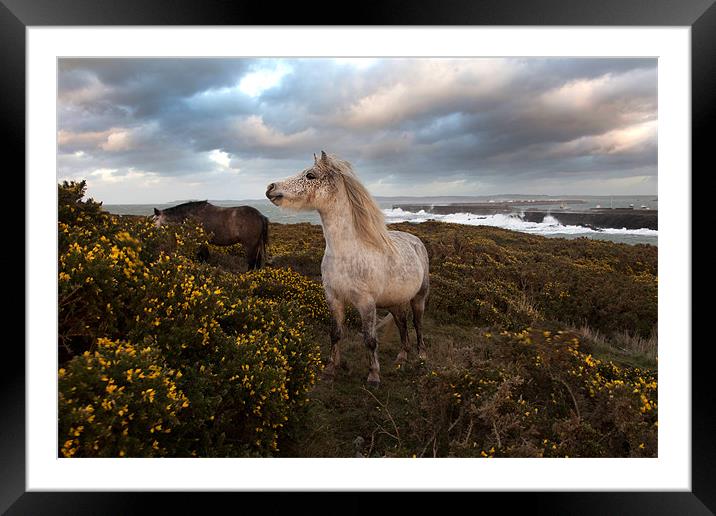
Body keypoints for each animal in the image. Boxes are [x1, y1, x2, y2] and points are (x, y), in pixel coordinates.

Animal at [266, 151, 428, 384]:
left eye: (310, 175)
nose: (271, 187)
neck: (347, 253)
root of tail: (416, 241)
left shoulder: (366, 303)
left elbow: (370, 339)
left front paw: (373, 375)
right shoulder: (333, 298)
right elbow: (335, 333)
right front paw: (330, 369)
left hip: (419, 298)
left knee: (417, 323)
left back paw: (421, 356)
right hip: (395, 302)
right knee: (402, 324)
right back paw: (401, 357)